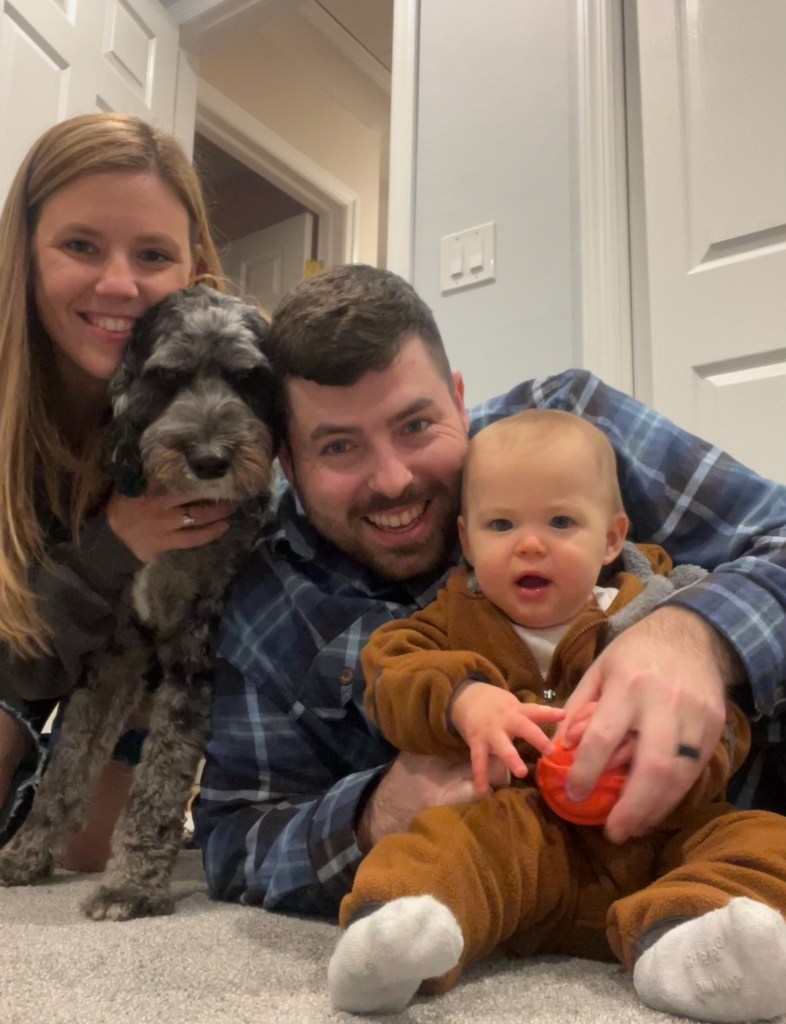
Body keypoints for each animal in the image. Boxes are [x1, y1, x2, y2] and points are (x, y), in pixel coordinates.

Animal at [0, 286, 276, 921]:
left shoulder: (196, 652)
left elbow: (161, 777)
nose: (210, 459)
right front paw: (26, 853)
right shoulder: (116, 652)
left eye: (247, 379)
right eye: (168, 376)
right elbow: (67, 763)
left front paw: (131, 883)